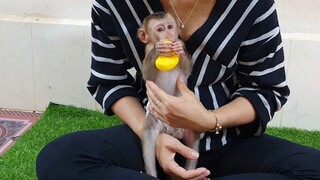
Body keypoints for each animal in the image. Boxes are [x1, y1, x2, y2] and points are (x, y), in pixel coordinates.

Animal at [138, 11, 200, 178]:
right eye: (160, 29)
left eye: (170, 26)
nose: (168, 35)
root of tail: (173, 131)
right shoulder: (146, 49)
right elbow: (147, 76)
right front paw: (158, 49)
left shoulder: (181, 42)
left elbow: (187, 70)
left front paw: (179, 50)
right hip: (154, 120)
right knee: (148, 136)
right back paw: (153, 173)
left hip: (187, 122)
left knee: (194, 136)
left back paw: (190, 173)